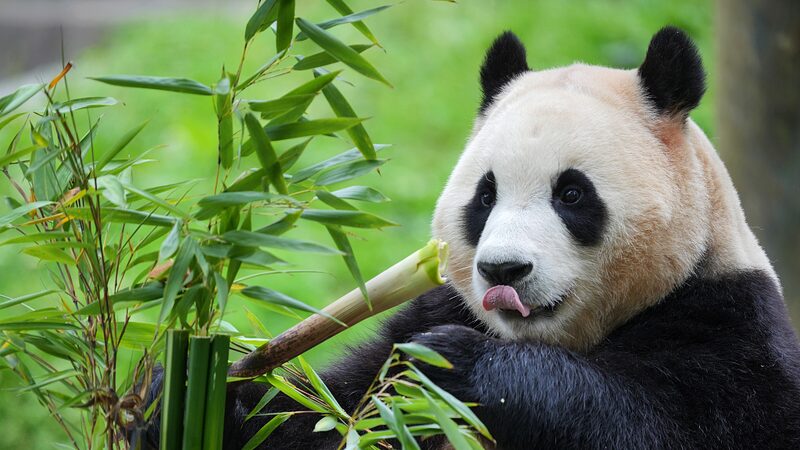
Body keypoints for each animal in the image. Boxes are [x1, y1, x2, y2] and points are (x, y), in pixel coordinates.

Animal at [143, 27, 800, 449]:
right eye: (485, 196)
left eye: (572, 194)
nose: (504, 272)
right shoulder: (430, 309)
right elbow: (323, 416)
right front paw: (181, 394)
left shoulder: (730, 331)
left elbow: (656, 425)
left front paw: (456, 365)